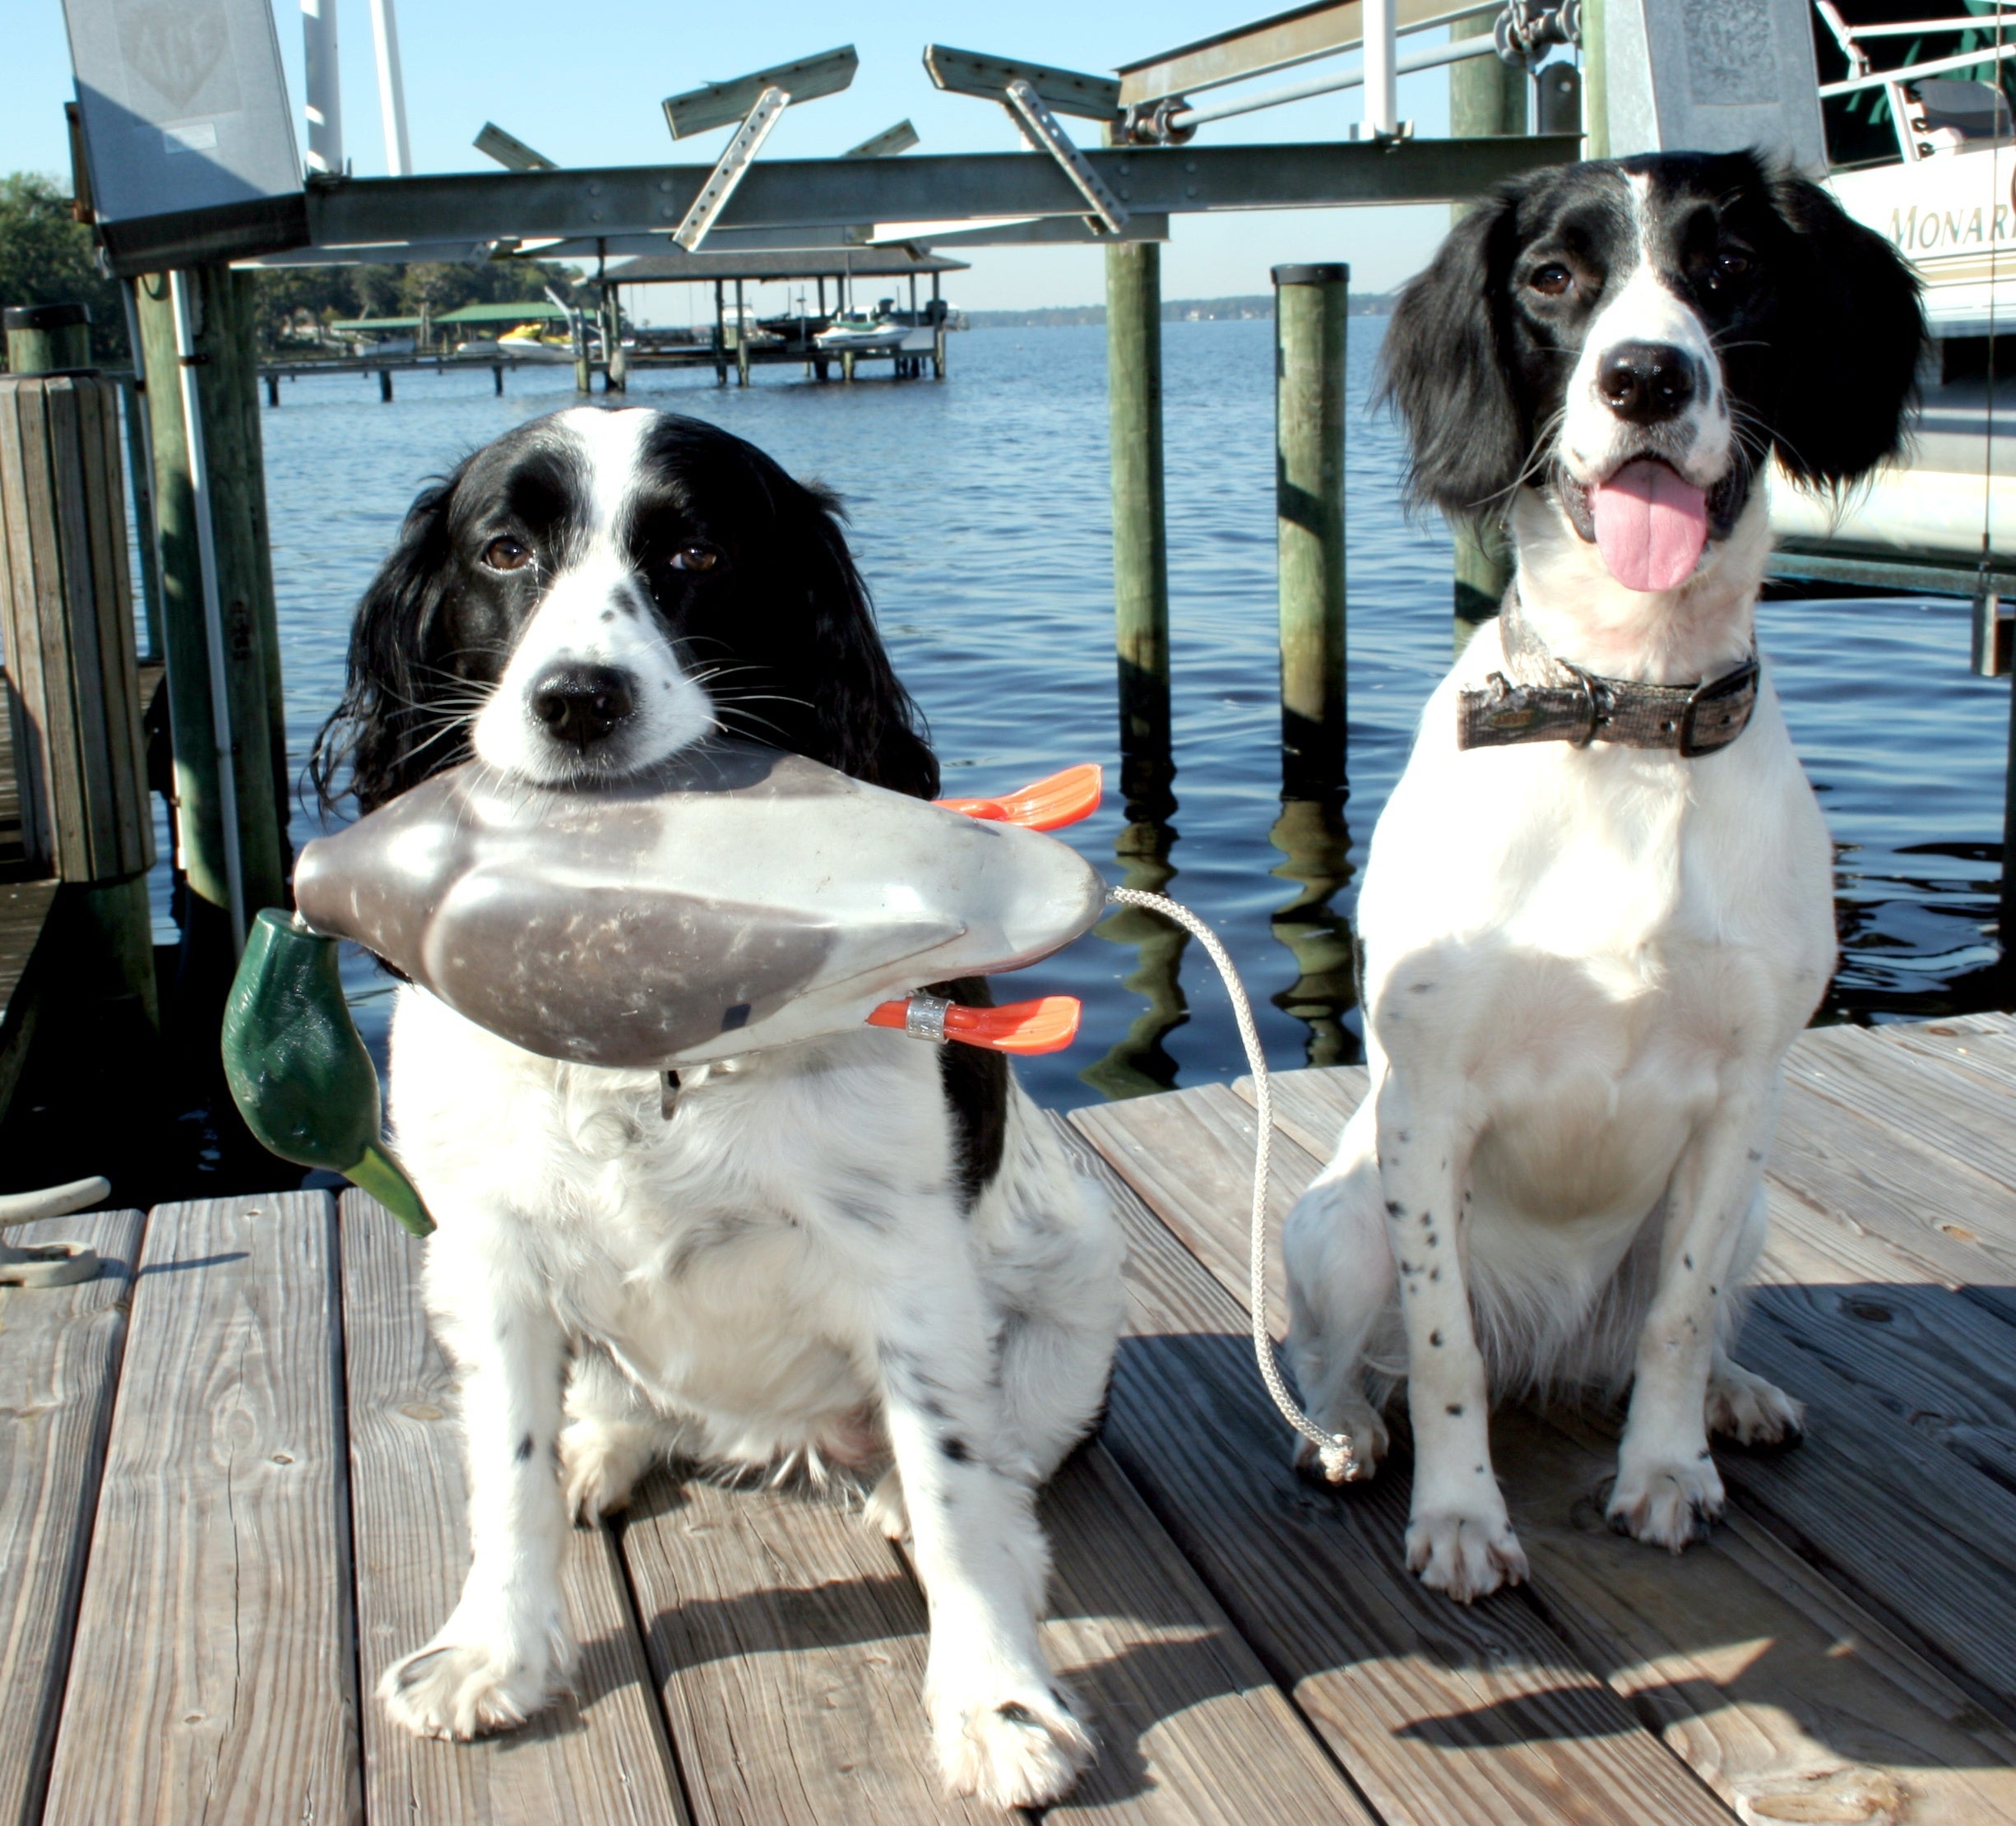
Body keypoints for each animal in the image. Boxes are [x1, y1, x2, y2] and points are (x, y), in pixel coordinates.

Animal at [1281, 153, 1927, 1596]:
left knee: (1675, 1321)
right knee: (1355, 1352)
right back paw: (1345, 1429)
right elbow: (1443, 1348)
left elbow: (1675, 1321)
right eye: (1550, 278)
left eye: (1728, 270)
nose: (1643, 378)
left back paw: (1734, 1398)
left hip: (1750, 1209)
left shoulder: (1740, 1102)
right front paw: (1459, 1517)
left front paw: (1665, 1469)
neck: (1623, 710)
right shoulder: (1426, 1107)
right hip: (1339, 1218)